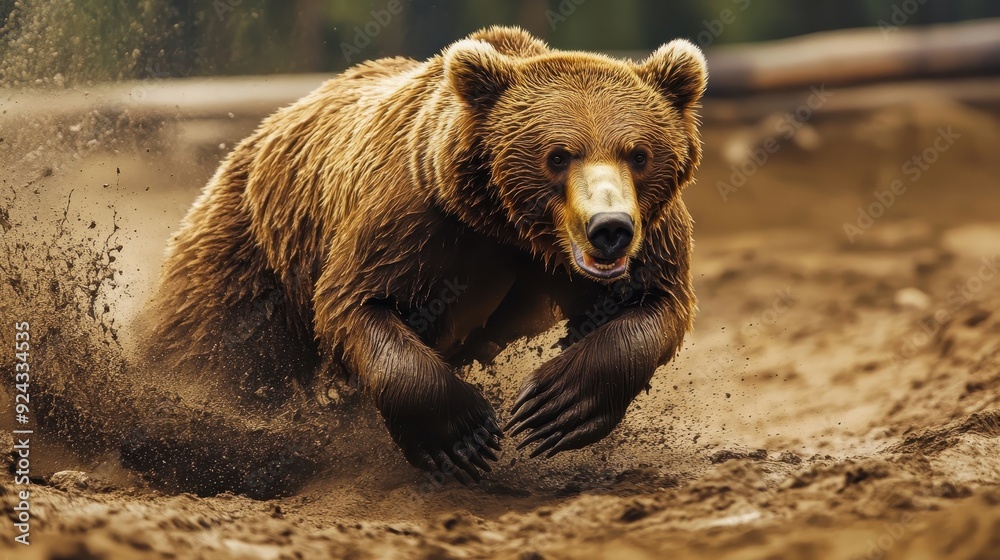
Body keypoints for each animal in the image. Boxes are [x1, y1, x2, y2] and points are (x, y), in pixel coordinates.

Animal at [136, 26, 706, 486]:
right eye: (558, 156)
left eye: (639, 153)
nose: (609, 229)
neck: (510, 229)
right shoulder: (416, 219)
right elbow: (356, 303)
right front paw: (464, 437)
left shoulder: (651, 232)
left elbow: (654, 305)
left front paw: (554, 404)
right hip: (253, 243)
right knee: (210, 342)